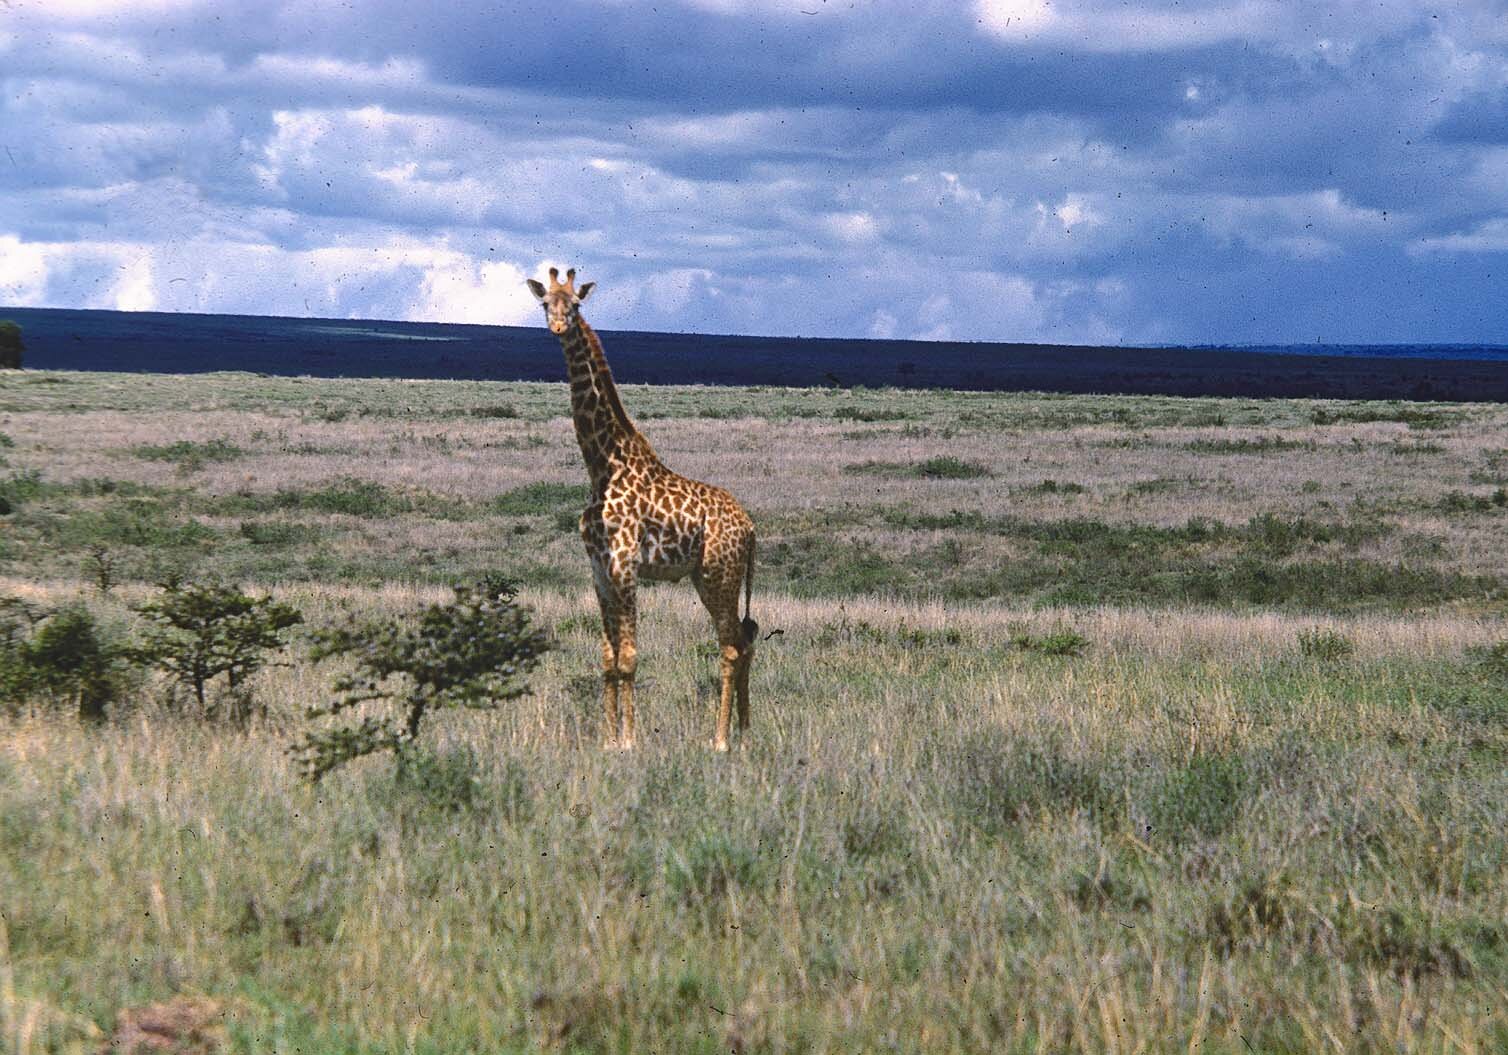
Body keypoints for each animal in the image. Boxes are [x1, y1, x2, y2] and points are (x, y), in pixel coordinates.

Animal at [530, 268, 760, 753]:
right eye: (545, 303)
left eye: (575, 304)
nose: (558, 327)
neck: (602, 465)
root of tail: (751, 528)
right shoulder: (599, 570)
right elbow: (607, 657)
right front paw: (607, 739)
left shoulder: (626, 566)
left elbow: (630, 658)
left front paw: (630, 741)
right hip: (708, 577)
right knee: (745, 641)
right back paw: (745, 734)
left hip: (720, 575)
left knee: (731, 647)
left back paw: (719, 740)